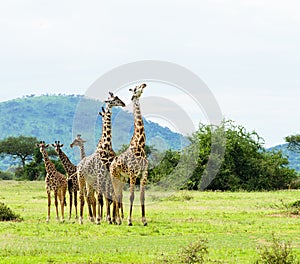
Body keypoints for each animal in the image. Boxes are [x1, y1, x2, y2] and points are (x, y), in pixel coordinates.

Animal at [77, 93, 125, 225]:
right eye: (114, 99)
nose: (123, 103)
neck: (106, 146)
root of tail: (79, 165)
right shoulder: (100, 175)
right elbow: (101, 198)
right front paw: (101, 219)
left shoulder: (107, 177)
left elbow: (109, 197)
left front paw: (111, 219)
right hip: (82, 179)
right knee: (83, 196)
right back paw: (84, 219)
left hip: (90, 181)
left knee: (91, 196)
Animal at [109, 83, 148, 226]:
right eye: (135, 89)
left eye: (140, 85)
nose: (144, 84)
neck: (140, 145)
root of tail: (111, 164)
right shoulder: (133, 173)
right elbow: (131, 196)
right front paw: (129, 220)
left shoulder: (144, 173)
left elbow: (142, 196)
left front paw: (144, 220)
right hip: (115, 176)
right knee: (115, 195)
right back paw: (118, 220)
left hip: (122, 178)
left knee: (118, 196)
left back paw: (117, 219)